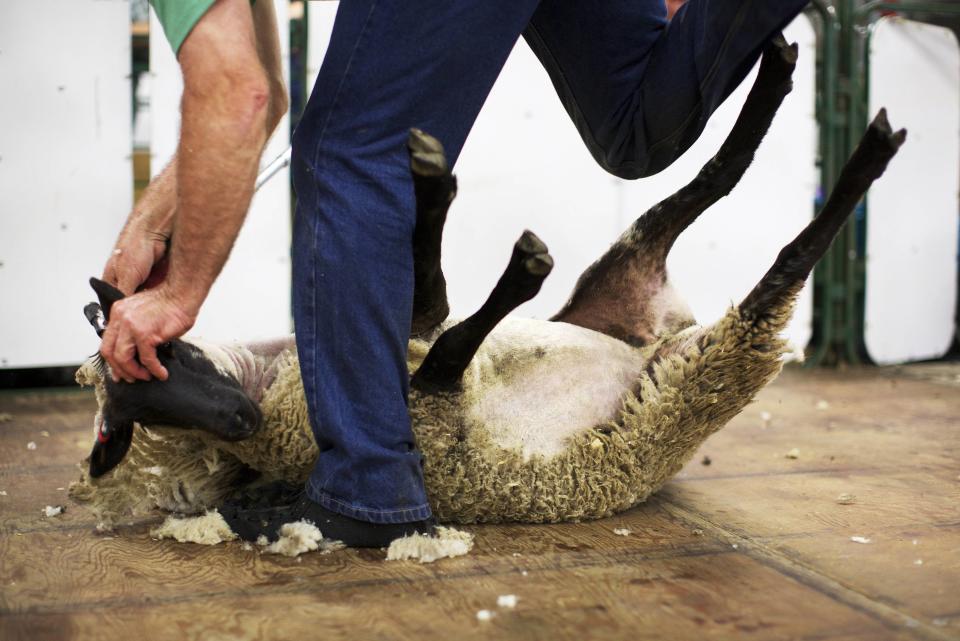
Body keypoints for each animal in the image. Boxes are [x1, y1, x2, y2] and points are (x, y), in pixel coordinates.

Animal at [71, 35, 904, 528]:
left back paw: (784, 80)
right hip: (719, 353)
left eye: (163, 355)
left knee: (713, 175)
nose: (239, 420)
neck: (272, 385)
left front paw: (433, 176)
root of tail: (656, 341)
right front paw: (508, 253)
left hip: (622, 271)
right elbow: (450, 322)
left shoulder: (414, 338)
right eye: (119, 419)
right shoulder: (429, 385)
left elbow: (434, 283)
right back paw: (865, 148)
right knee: (783, 258)